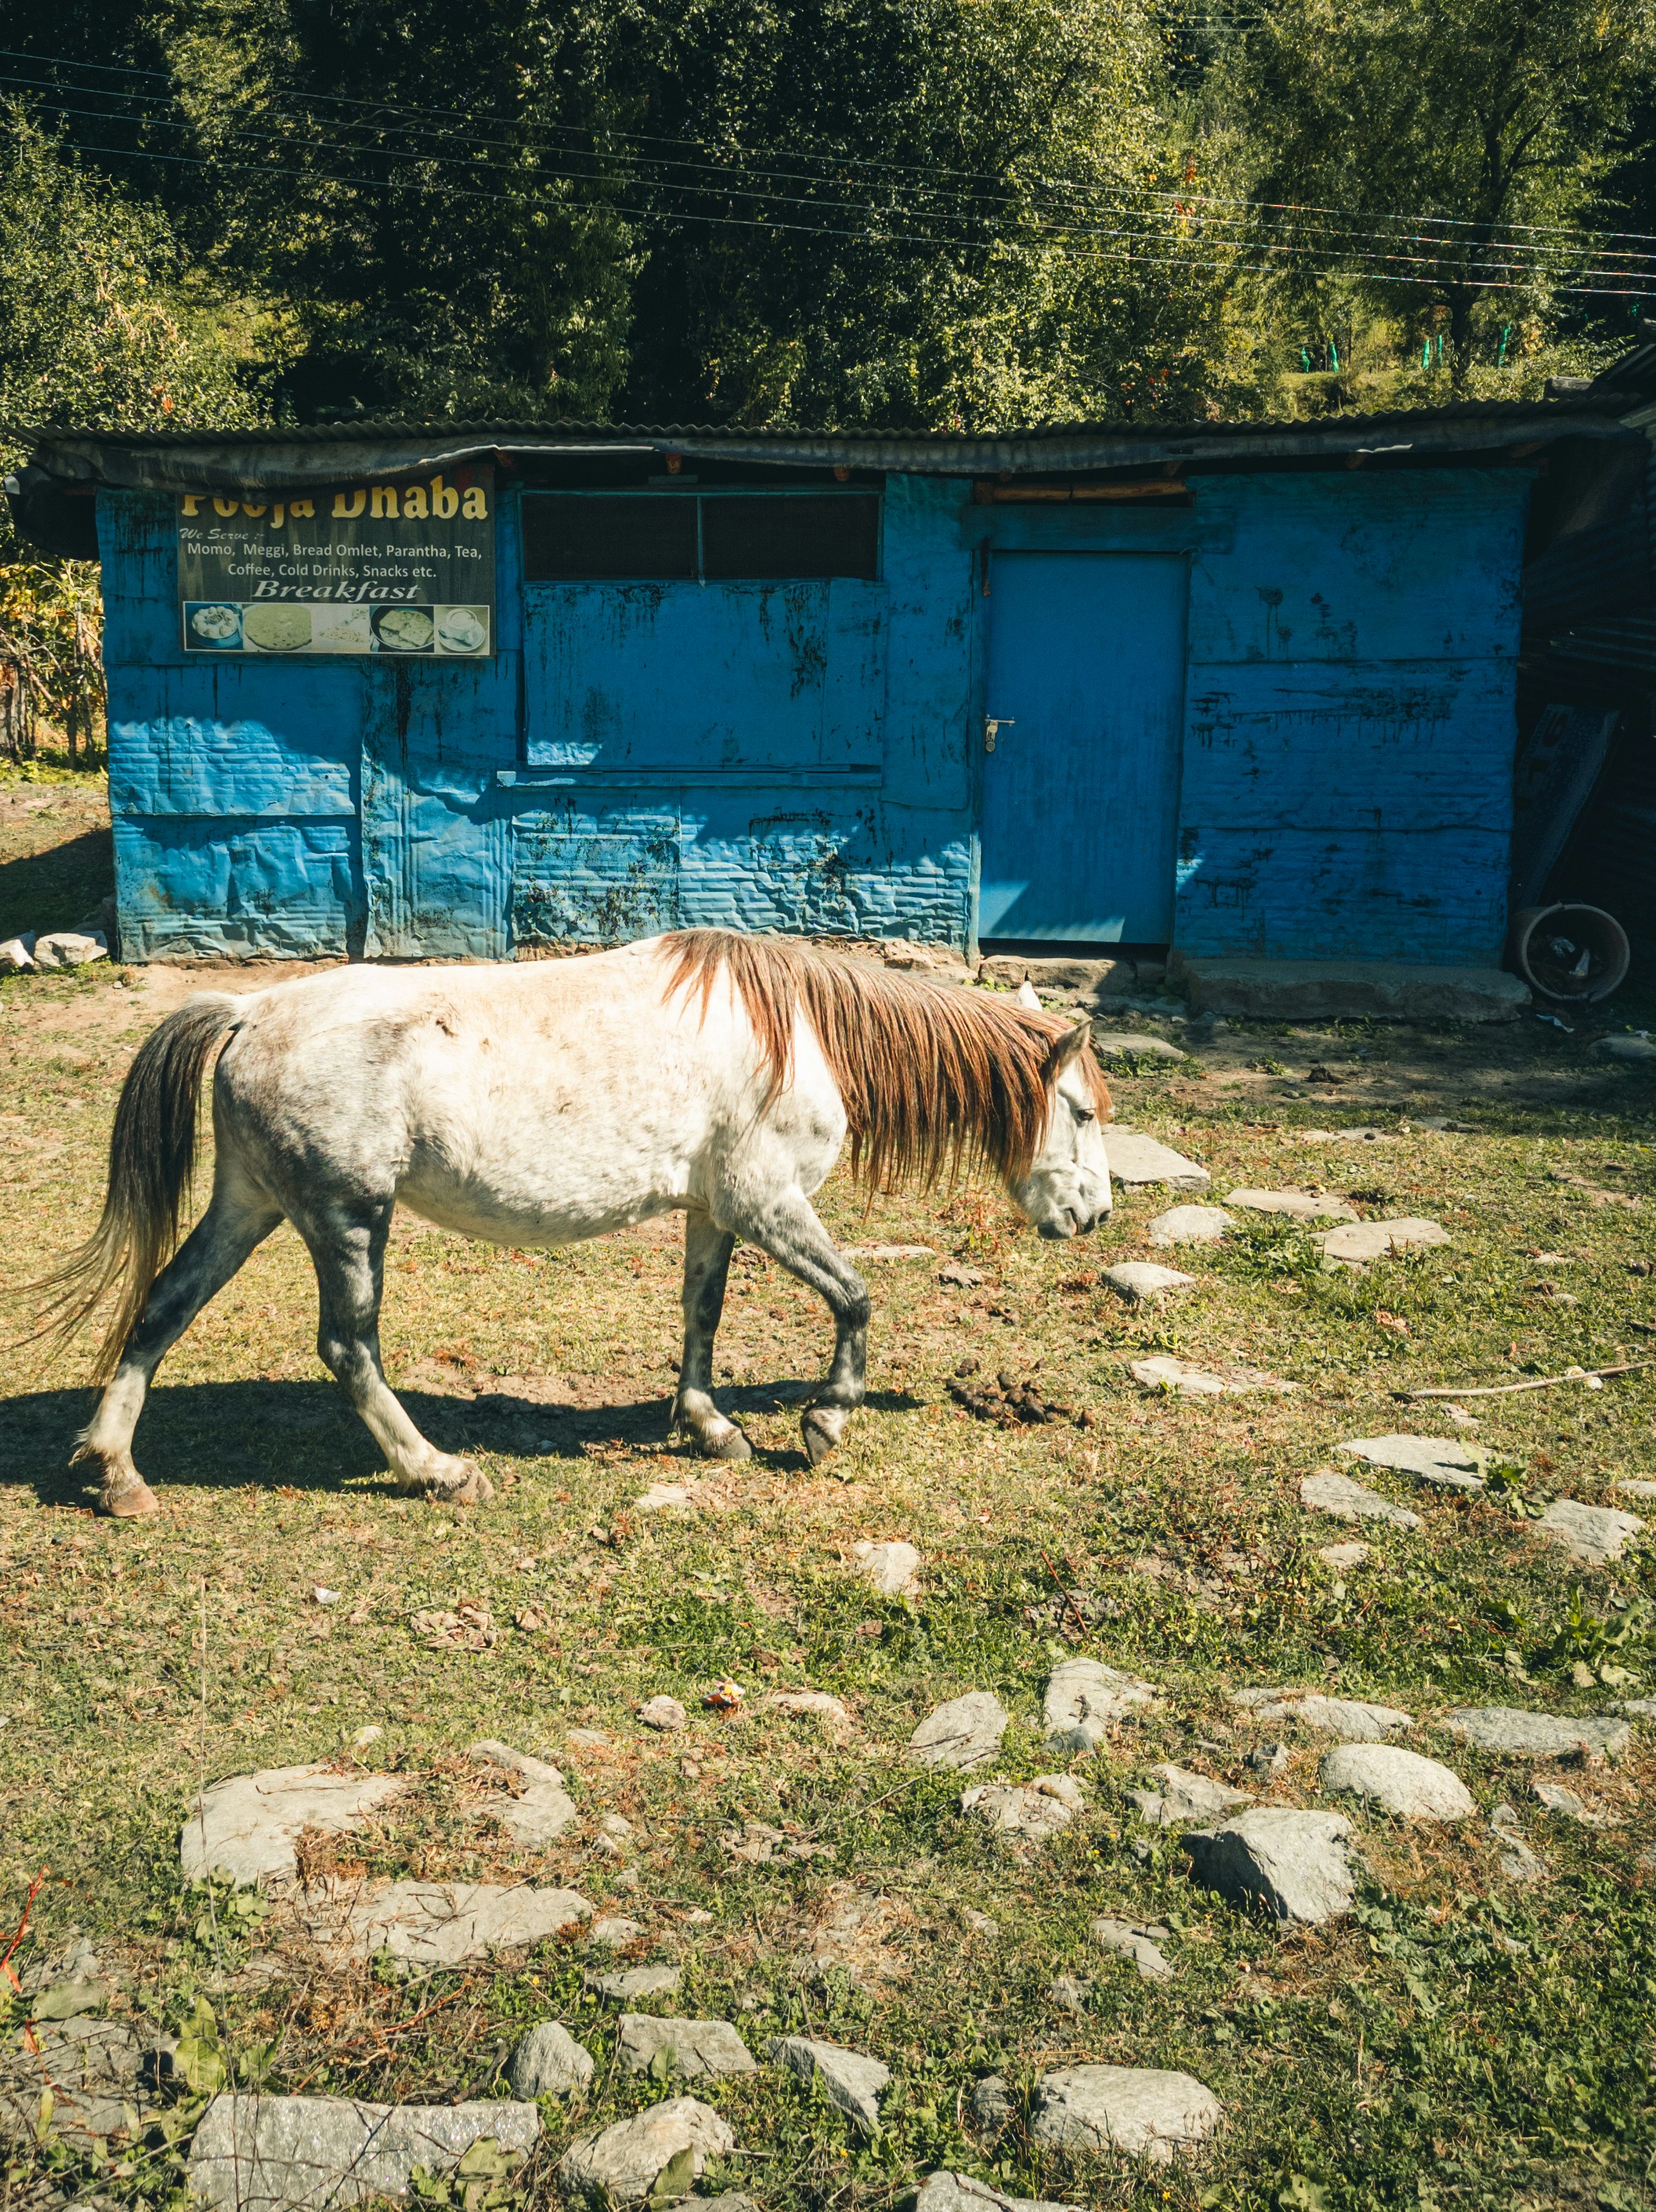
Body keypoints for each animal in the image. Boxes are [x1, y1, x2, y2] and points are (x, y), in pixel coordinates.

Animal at [35, 924, 1110, 1513]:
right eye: (1085, 1111)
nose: (1094, 1214)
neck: (794, 1029)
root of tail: (250, 1014)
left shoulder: (714, 1210)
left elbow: (701, 1315)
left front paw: (710, 1426)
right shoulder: (769, 1203)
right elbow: (854, 1299)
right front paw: (823, 1421)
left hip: (251, 1205)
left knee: (162, 1309)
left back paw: (116, 1473)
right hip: (348, 1218)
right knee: (348, 1347)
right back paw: (437, 1471)